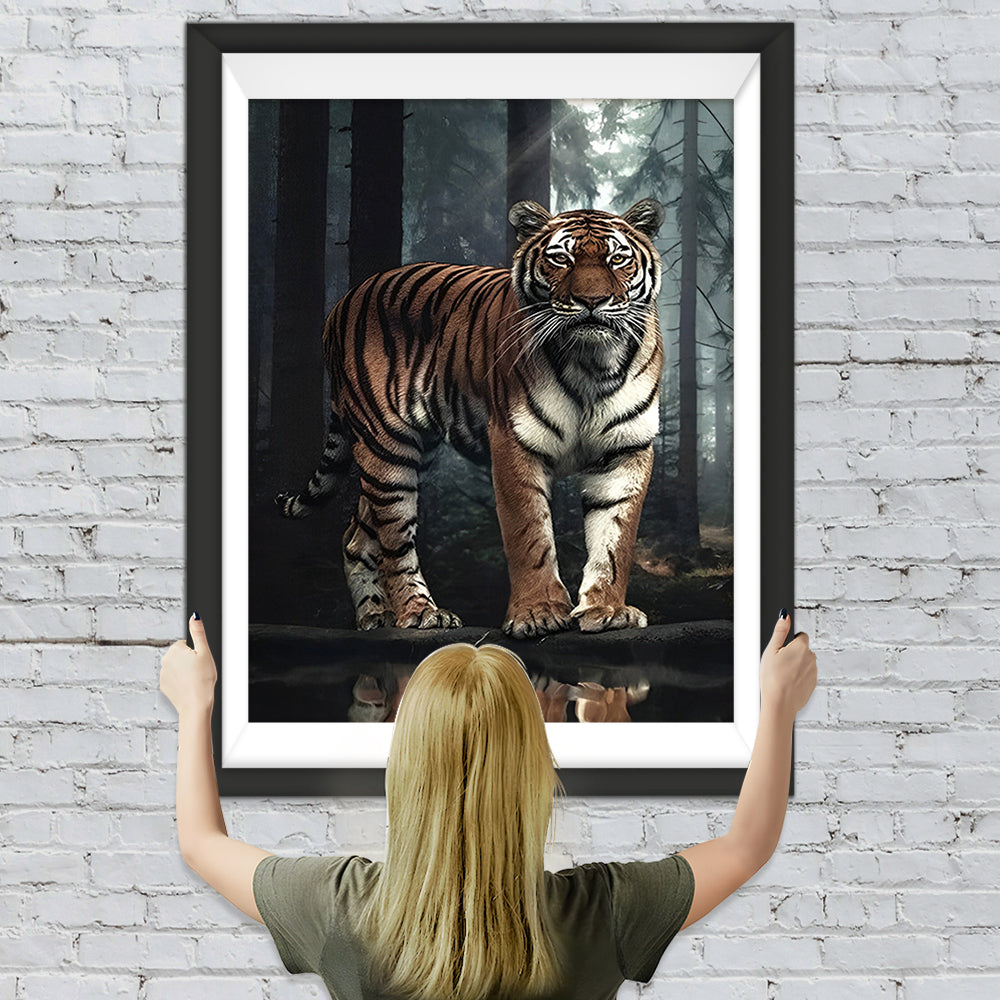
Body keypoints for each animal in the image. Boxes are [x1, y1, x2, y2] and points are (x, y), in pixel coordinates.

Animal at [275, 198, 664, 639]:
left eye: (618, 259)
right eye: (560, 259)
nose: (592, 301)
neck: (592, 363)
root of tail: (344, 300)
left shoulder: (627, 449)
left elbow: (616, 538)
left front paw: (607, 610)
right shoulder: (513, 441)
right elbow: (529, 533)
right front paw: (539, 613)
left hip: (410, 451)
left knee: (357, 534)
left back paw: (374, 617)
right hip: (387, 447)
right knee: (394, 538)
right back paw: (420, 613)